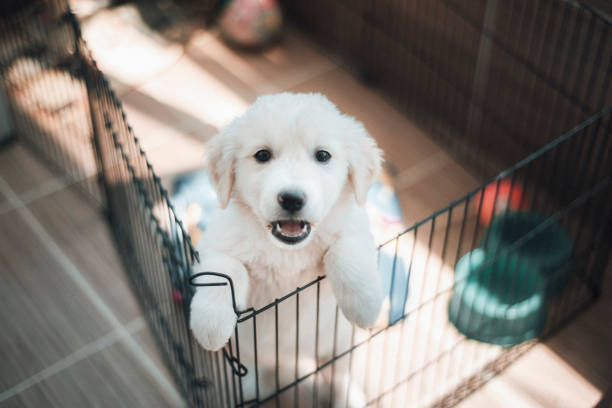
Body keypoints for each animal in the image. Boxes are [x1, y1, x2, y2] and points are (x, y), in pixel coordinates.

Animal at [190, 92, 382, 404]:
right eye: (262, 155)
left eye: (323, 156)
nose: (291, 199)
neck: (286, 251)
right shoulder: (216, 243)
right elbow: (224, 272)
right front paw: (211, 326)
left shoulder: (356, 227)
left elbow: (345, 251)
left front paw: (365, 305)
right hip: (257, 350)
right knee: (269, 369)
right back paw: (258, 388)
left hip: (338, 345)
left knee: (337, 374)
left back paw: (347, 397)